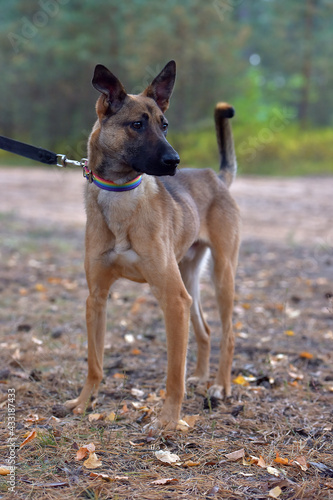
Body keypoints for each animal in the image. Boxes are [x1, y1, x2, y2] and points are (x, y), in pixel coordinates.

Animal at [64, 60, 239, 430]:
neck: (121, 196)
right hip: (189, 277)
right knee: (205, 330)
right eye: (137, 124)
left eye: (165, 125)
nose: (175, 160)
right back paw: (201, 377)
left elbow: (173, 373)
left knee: (228, 334)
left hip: (222, 275)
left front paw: (169, 421)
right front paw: (84, 402)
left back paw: (219, 387)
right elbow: (94, 363)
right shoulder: (96, 299)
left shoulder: (173, 300)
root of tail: (216, 177)